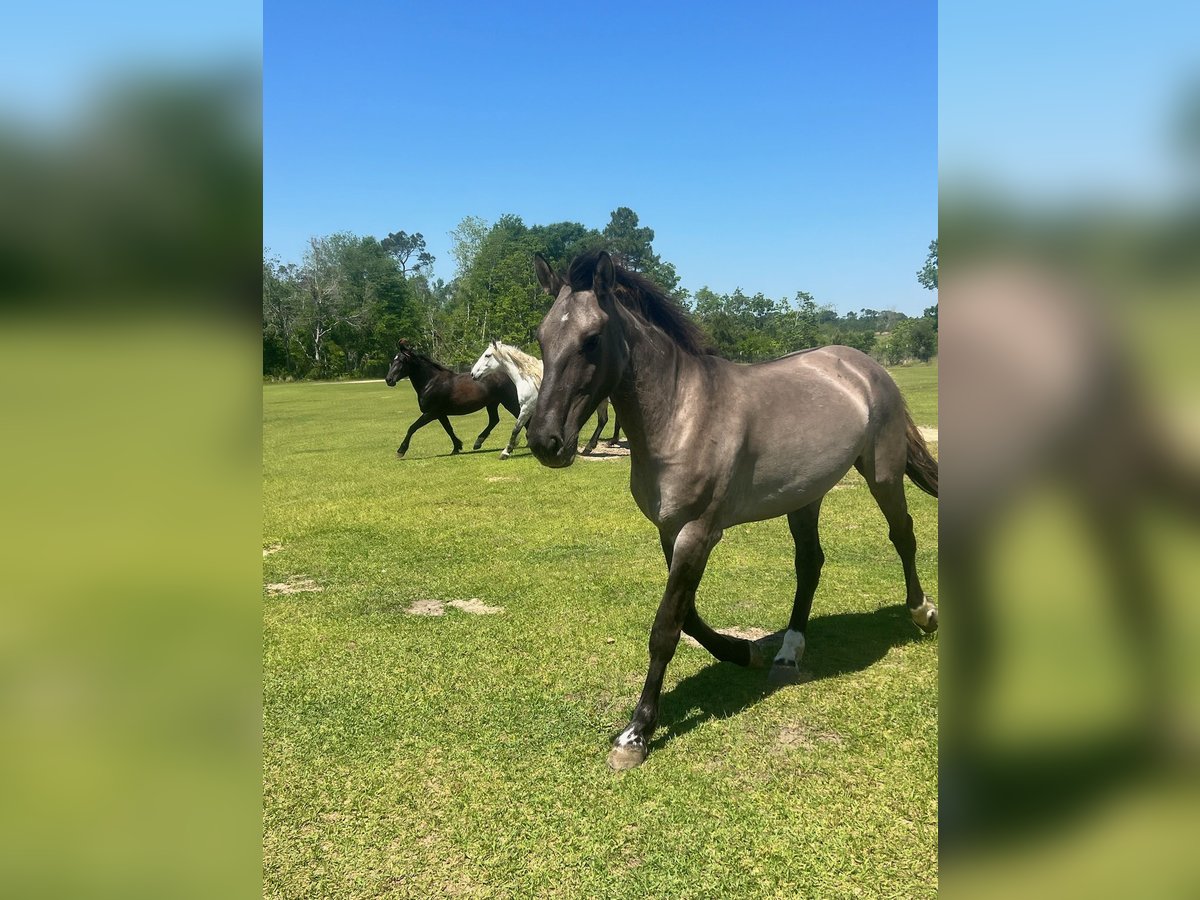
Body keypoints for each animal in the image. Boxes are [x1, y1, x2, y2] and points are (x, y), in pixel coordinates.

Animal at [385, 340, 520, 458]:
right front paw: (457, 447)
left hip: (508, 401)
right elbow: (449, 429)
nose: (388, 380)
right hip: (492, 404)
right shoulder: (440, 414)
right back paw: (478, 442)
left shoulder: (430, 413)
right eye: (394, 360)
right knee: (494, 420)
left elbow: (412, 427)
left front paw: (401, 450)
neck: (431, 382)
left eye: (403, 360)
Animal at [469, 340, 624, 458]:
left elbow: (516, 429)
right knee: (603, 421)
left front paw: (506, 452)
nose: (472, 374)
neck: (529, 378)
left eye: (487, 355)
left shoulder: (526, 407)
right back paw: (590, 447)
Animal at [528, 250, 939, 770]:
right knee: (810, 563)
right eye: (541, 337)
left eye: (592, 339)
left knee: (903, 535)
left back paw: (923, 612)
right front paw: (744, 653)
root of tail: (865, 366)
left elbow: (666, 627)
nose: (546, 442)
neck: (683, 413)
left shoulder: (698, 533)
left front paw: (636, 734)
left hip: (882, 474)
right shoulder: (670, 531)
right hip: (804, 496)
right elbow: (688, 617)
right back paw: (787, 655)